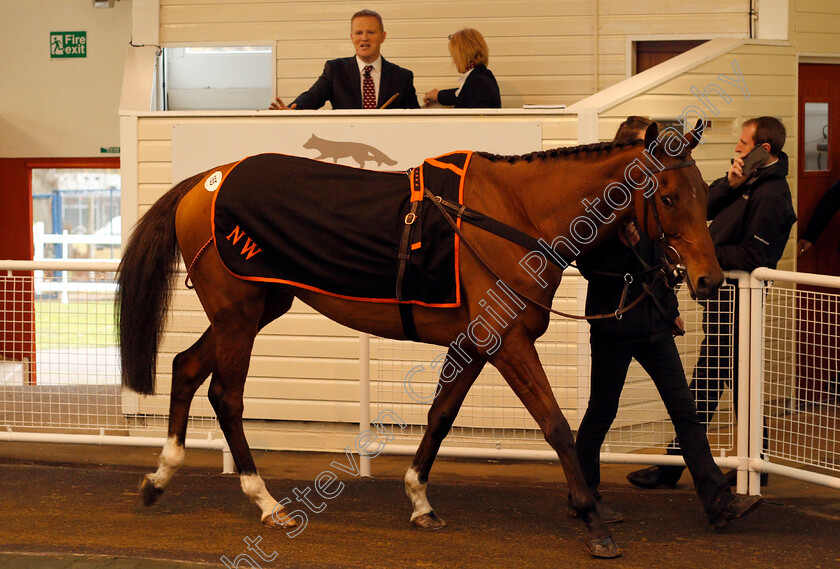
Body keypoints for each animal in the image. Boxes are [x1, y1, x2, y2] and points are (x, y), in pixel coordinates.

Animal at [116, 122, 720, 556]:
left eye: (705, 193)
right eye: (668, 197)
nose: (708, 279)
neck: (512, 215)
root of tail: (207, 181)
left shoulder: (477, 342)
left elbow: (440, 416)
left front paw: (419, 499)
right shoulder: (508, 341)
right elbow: (556, 425)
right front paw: (594, 519)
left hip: (256, 307)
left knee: (186, 367)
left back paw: (160, 475)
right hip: (238, 314)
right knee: (226, 395)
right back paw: (266, 501)